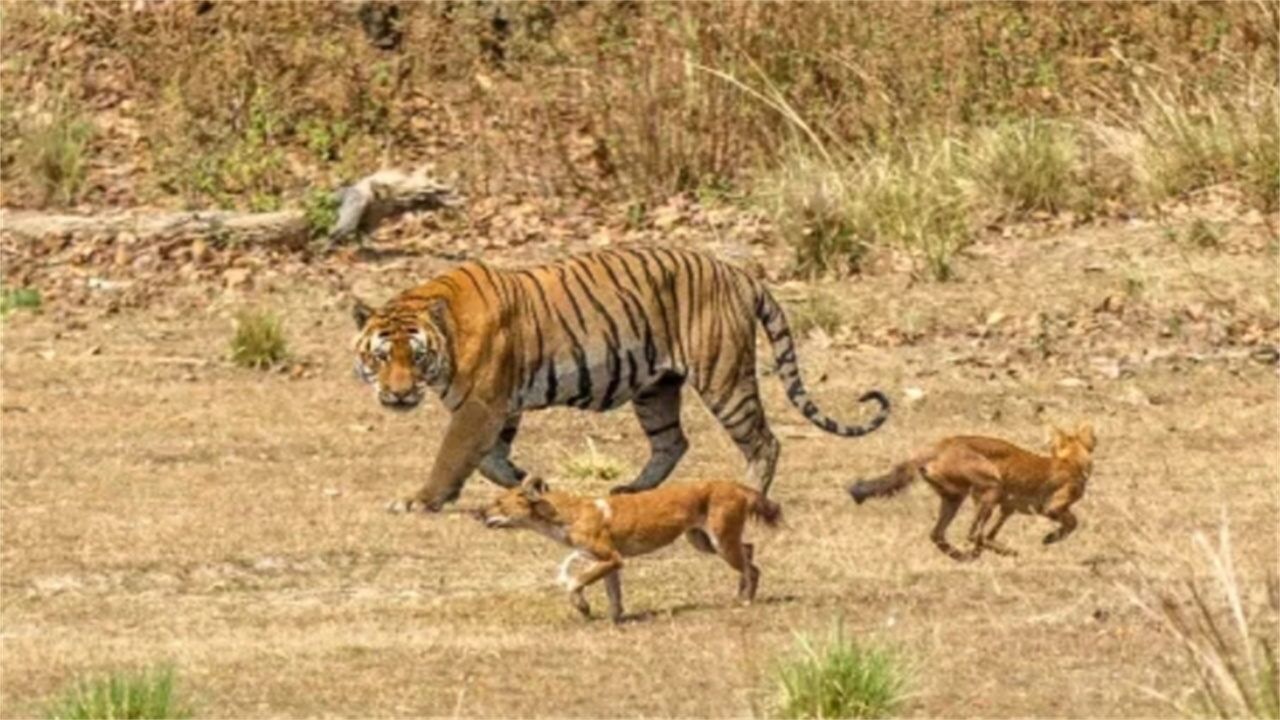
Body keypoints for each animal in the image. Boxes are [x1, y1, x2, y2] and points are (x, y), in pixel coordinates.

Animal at [351, 246, 890, 513]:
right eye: (382, 356)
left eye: (416, 356)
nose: (398, 393)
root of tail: (738, 273)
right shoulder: (501, 408)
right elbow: (490, 461)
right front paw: (530, 483)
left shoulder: (482, 405)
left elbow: (454, 455)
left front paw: (421, 500)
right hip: (656, 388)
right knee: (673, 442)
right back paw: (633, 491)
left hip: (723, 377)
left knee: (764, 441)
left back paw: (750, 493)